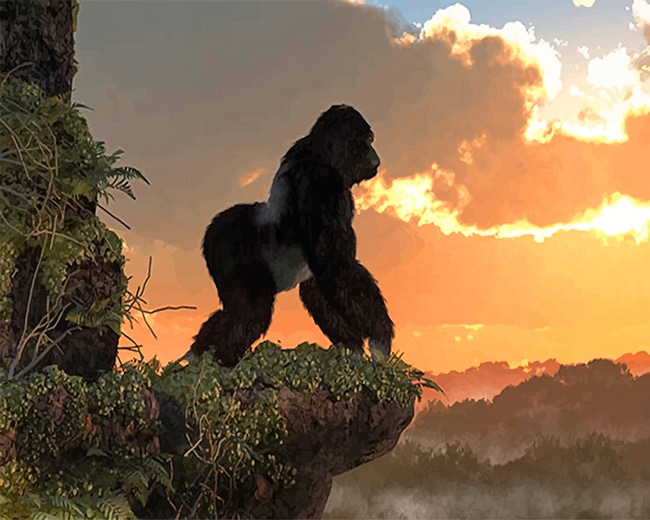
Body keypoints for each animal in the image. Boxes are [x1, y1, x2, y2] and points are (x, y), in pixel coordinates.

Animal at [189, 104, 394, 367]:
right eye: (367, 141)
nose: (375, 156)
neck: (322, 153)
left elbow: (319, 283)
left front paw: (352, 346)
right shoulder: (324, 183)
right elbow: (335, 265)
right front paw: (380, 335)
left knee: (235, 311)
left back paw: (198, 355)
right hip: (228, 246)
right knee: (250, 312)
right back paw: (223, 361)